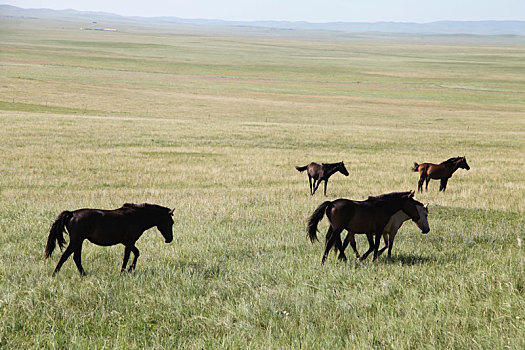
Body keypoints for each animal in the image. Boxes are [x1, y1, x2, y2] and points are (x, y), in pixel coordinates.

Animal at [44, 202, 173, 276]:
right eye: (171, 222)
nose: (169, 239)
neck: (137, 216)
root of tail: (71, 214)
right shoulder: (130, 242)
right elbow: (127, 256)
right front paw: (124, 271)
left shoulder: (128, 242)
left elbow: (136, 253)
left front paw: (130, 269)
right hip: (76, 241)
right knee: (65, 256)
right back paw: (54, 274)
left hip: (78, 242)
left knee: (76, 258)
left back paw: (83, 274)